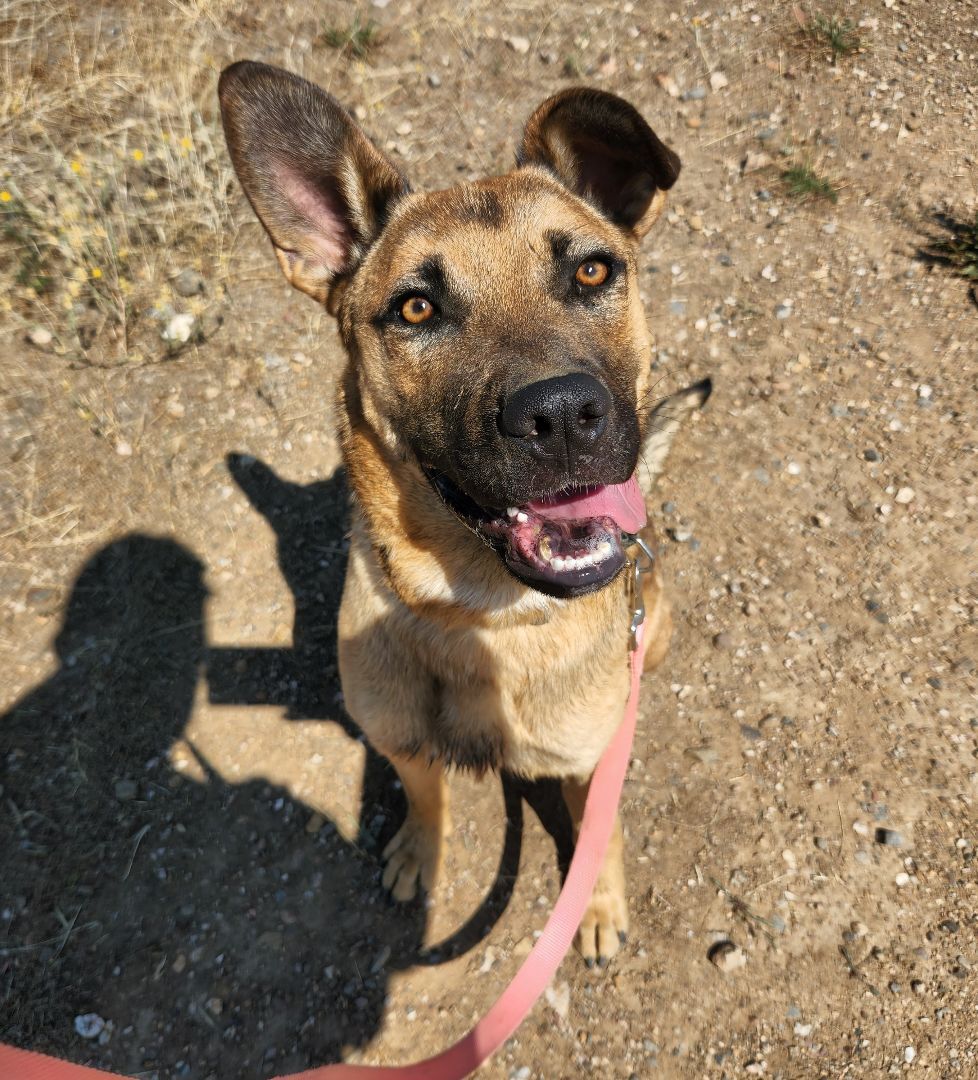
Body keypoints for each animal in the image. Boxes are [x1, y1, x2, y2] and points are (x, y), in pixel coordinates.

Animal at [219, 63, 708, 967]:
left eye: (592, 273)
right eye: (416, 309)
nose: (562, 417)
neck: (477, 617)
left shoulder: (585, 762)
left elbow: (601, 834)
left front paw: (596, 905)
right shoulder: (398, 739)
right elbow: (425, 795)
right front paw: (421, 849)